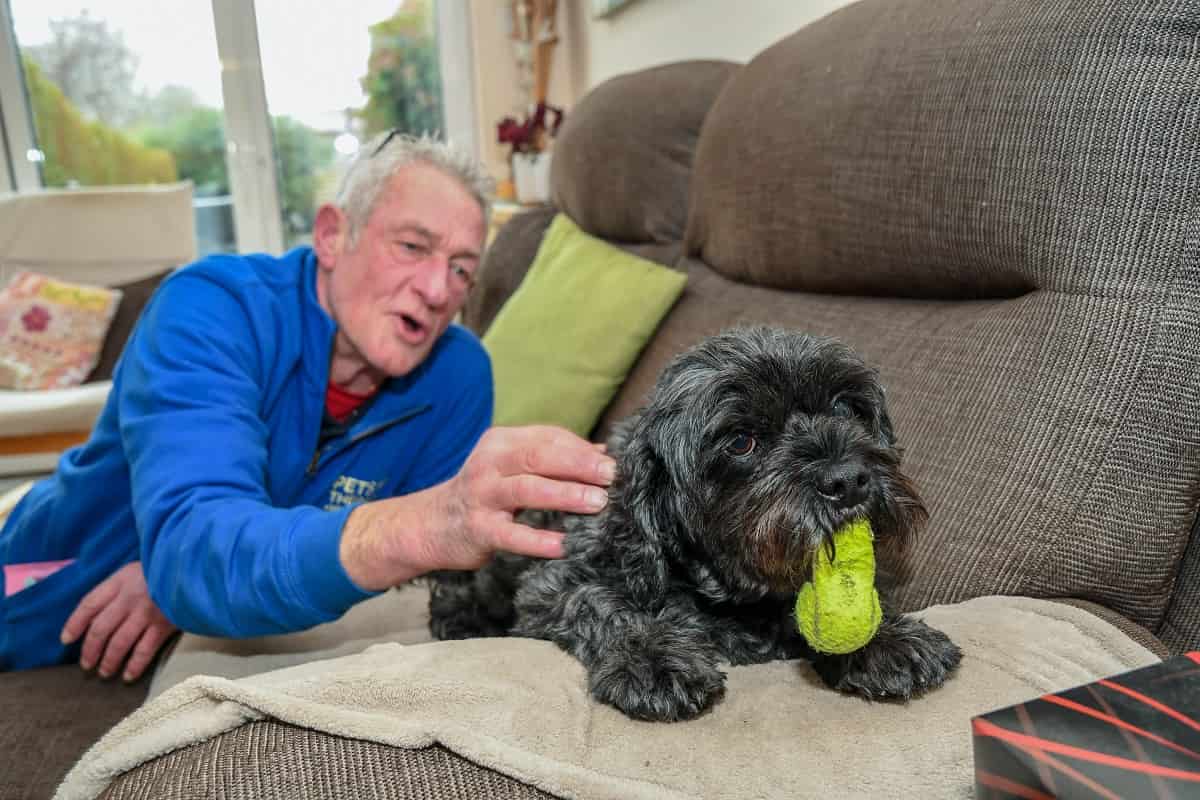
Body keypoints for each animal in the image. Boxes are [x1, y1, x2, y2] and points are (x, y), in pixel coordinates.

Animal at [427, 328, 960, 724]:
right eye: (741, 441)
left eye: (847, 408)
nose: (847, 480)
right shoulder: (553, 583)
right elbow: (601, 603)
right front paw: (652, 657)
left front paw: (885, 639)